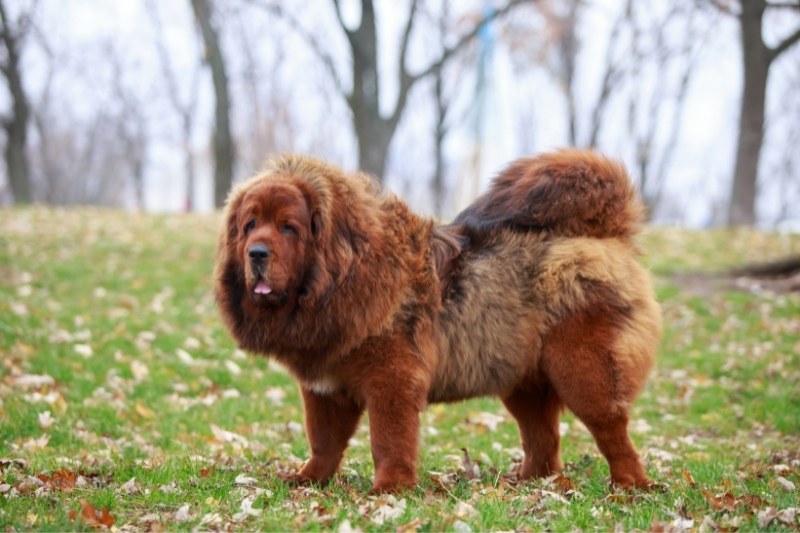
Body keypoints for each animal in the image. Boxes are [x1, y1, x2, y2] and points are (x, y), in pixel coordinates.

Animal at [214, 149, 664, 490]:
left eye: (289, 228)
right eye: (250, 225)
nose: (256, 253)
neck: (342, 278)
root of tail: (607, 235)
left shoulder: (391, 380)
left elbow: (388, 439)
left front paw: (389, 488)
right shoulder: (325, 387)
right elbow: (323, 441)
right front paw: (308, 480)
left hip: (583, 372)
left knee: (612, 431)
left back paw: (630, 486)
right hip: (522, 381)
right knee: (544, 440)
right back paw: (527, 482)